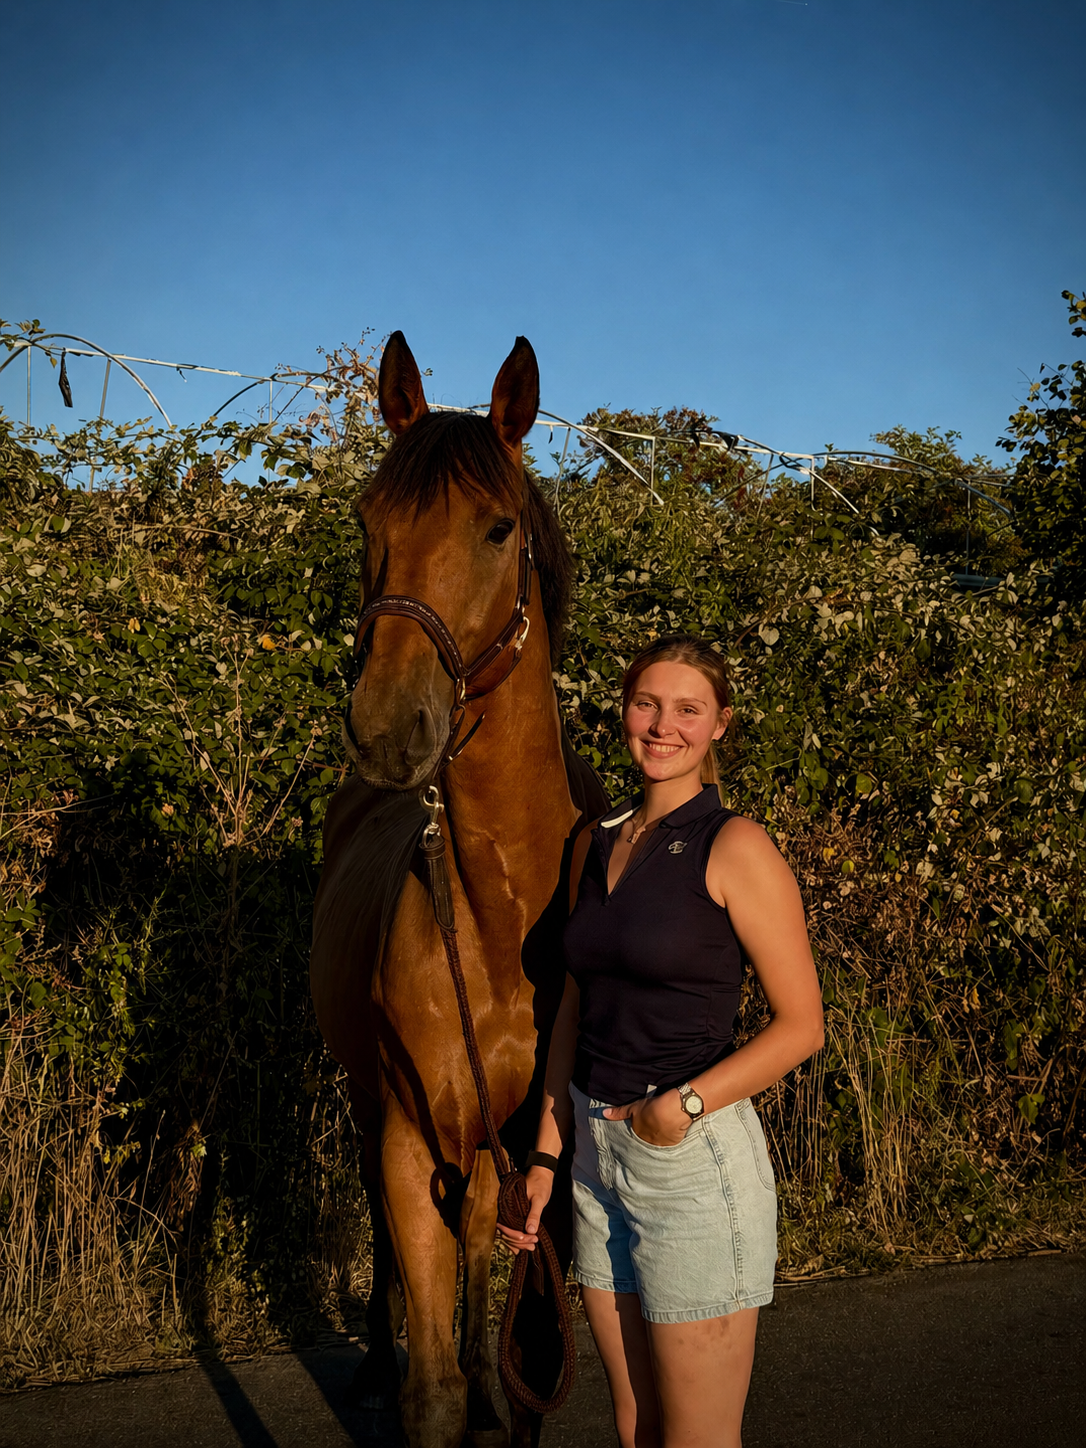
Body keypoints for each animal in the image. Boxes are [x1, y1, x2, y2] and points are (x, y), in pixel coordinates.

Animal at [310, 333, 606, 1448]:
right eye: (368, 518)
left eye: (497, 526)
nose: (390, 726)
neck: (499, 908)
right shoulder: (407, 1137)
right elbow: (431, 1393)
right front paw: (433, 1387)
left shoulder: (541, 1161)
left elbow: (529, 1372)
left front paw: (493, 1389)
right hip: (371, 1104)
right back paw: (374, 1362)